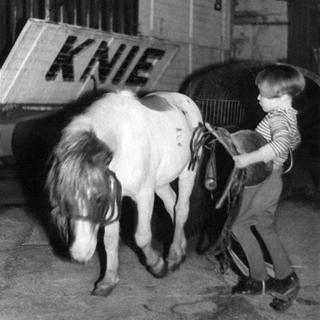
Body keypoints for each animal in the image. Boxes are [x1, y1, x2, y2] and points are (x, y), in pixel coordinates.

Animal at [47, 89, 202, 296]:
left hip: (188, 172)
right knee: (172, 204)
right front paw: (108, 280)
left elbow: (142, 236)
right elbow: (110, 240)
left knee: (182, 208)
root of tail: (183, 98)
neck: (121, 146)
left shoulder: (144, 194)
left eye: (97, 199)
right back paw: (181, 247)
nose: (79, 255)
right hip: (160, 182)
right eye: (64, 201)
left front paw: (157, 265)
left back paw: (174, 256)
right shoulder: (116, 196)